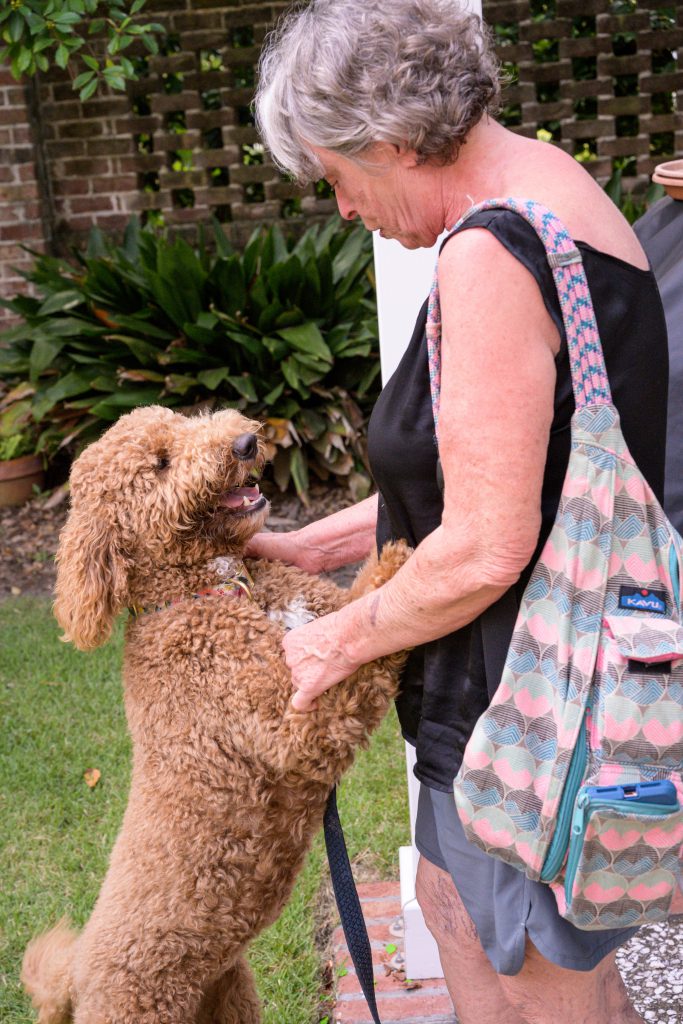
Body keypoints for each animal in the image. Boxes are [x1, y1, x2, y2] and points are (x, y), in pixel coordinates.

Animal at [20, 405, 405, 1024]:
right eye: (160, 463)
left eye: (183, 421)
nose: (247, 441)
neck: (213, 587)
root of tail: (76, 981)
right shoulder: (295, 723)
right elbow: (364, 642)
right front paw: (399, 561)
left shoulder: (319, 619)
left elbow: (355, 609)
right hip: (142, 1006)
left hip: (230, 993)